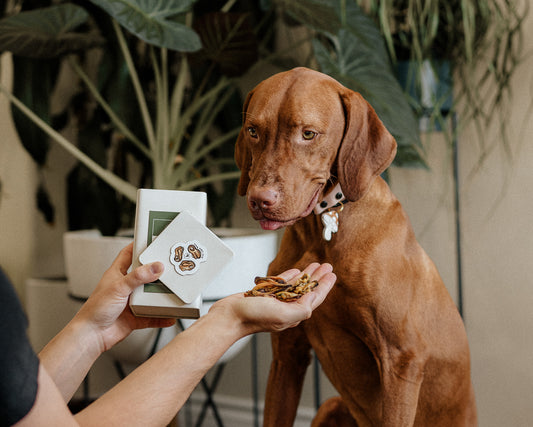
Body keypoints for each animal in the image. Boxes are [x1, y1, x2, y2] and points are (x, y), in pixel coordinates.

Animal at [235, 68, 476, 426]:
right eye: (253, 131)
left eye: (308, 134)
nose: (260, 200)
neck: (324, 230)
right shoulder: (287, 356)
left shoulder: (401, 361)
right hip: (331, 406)